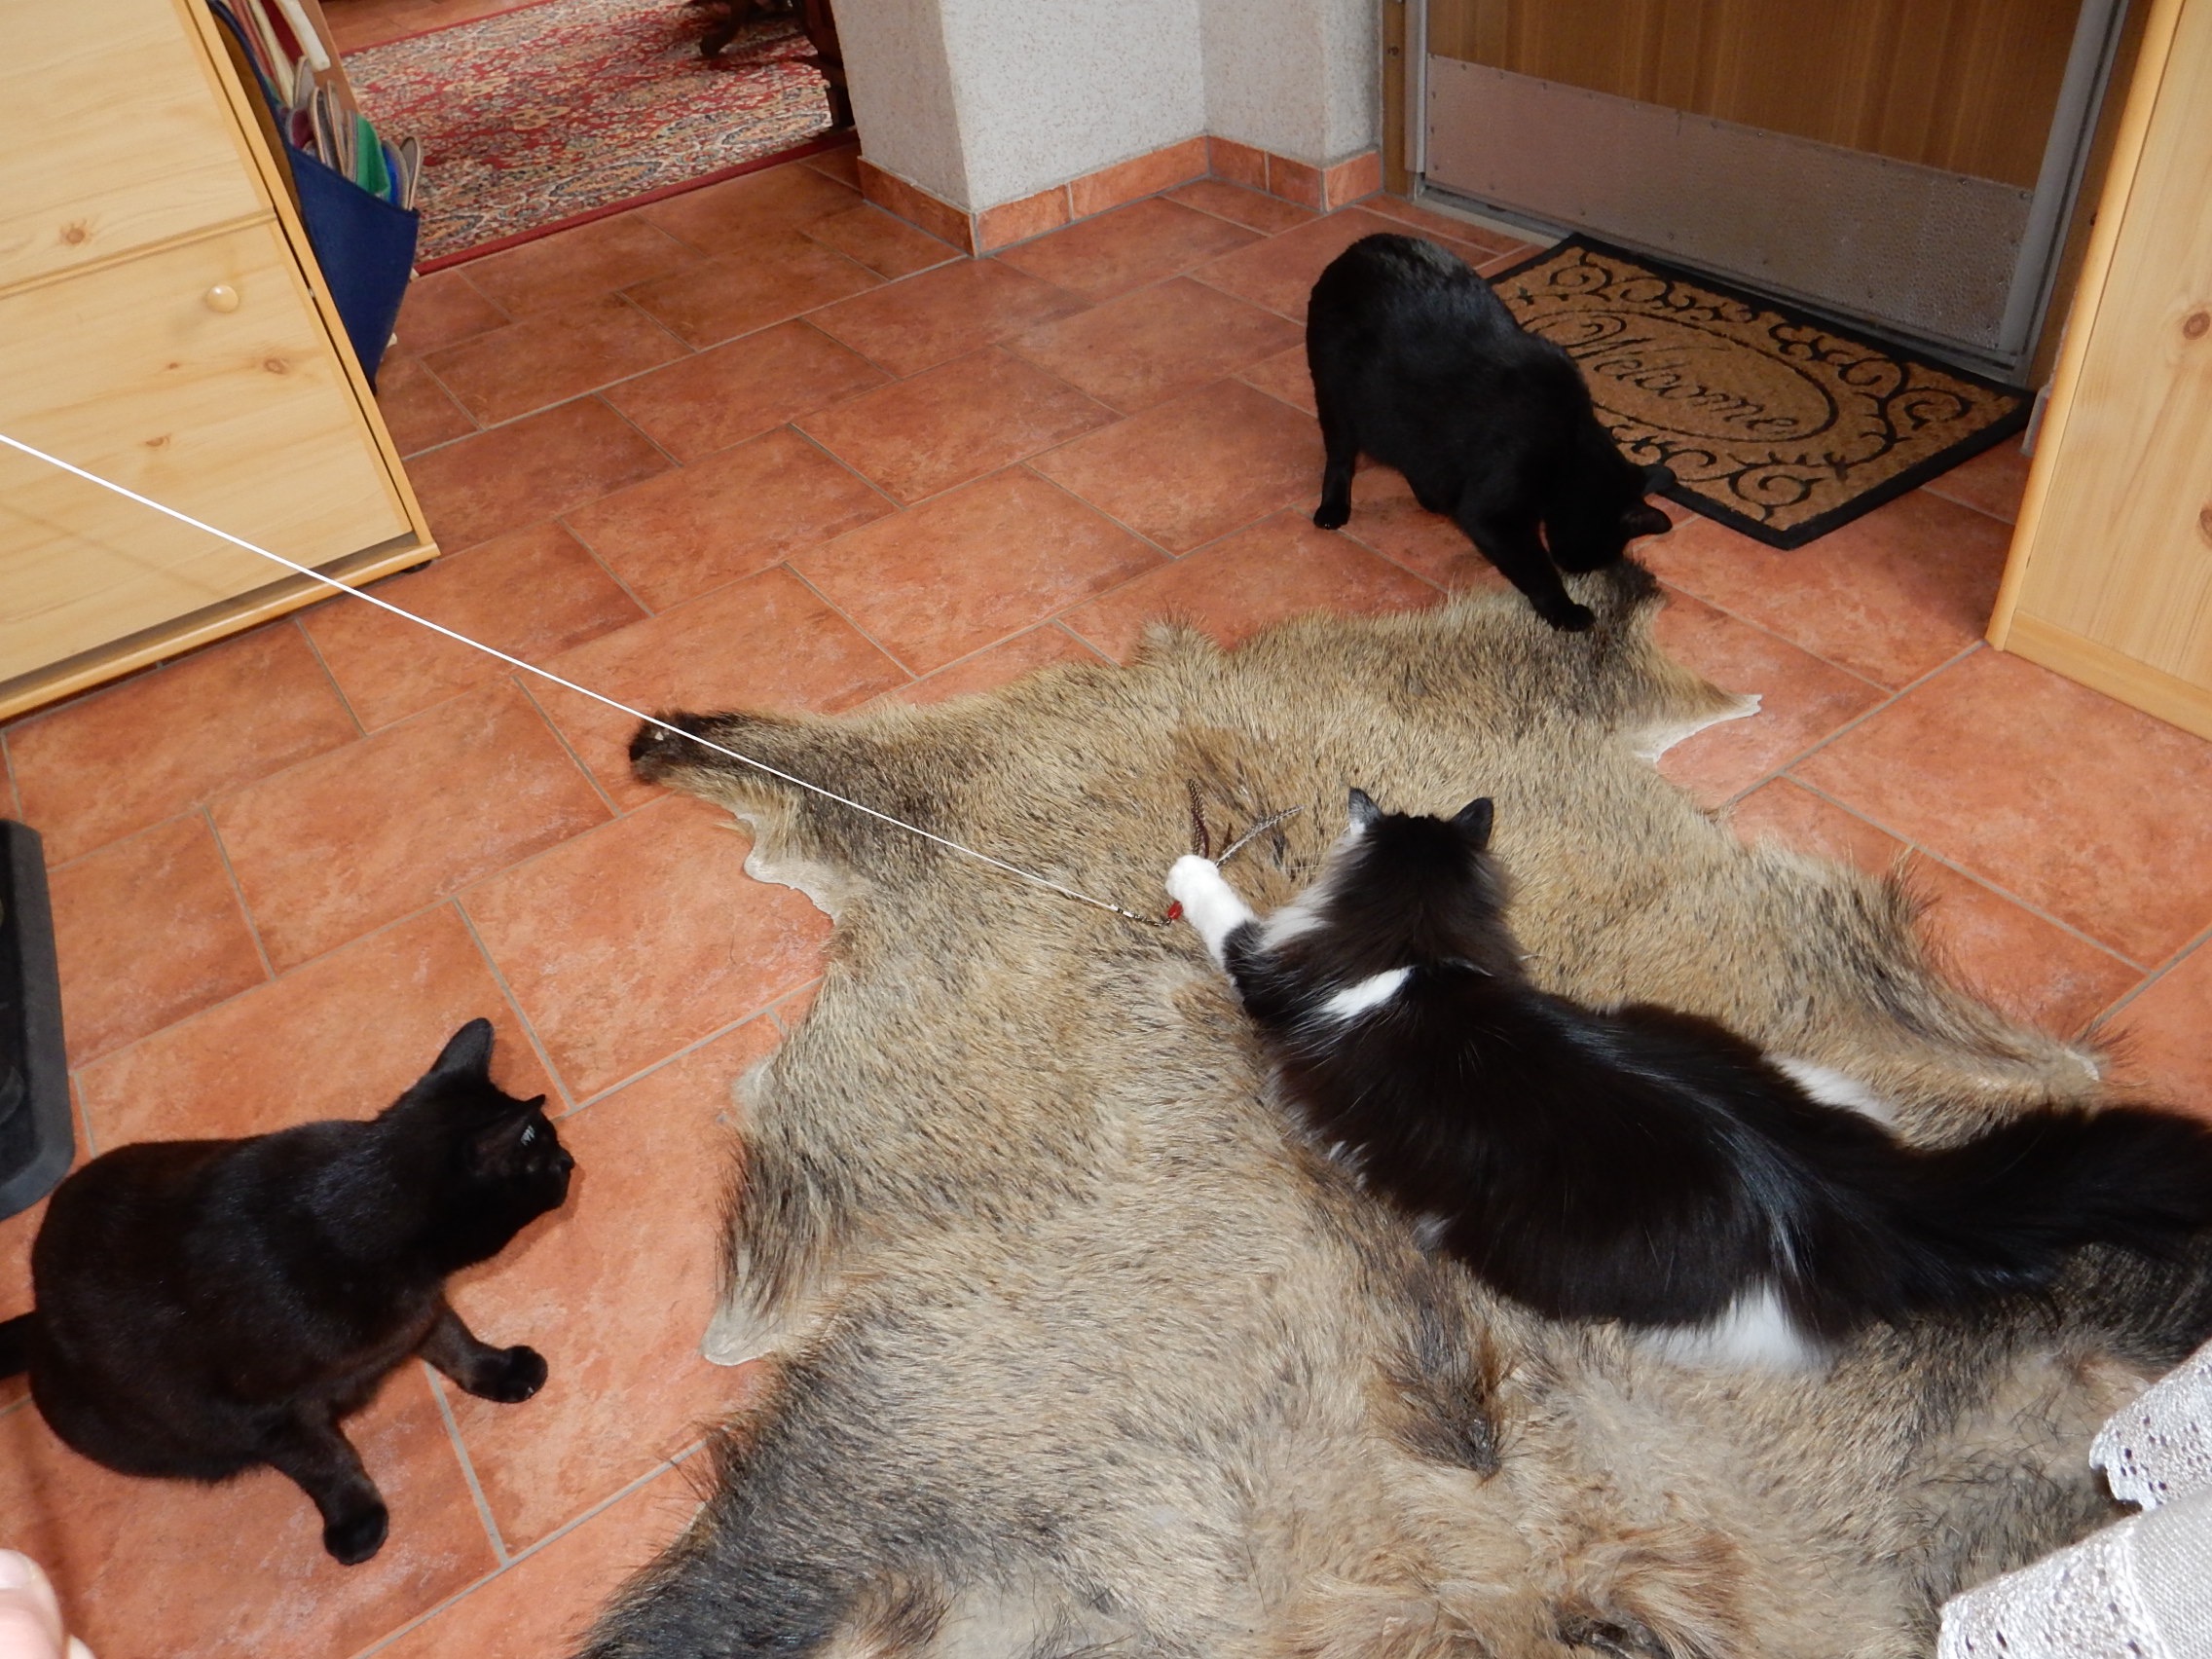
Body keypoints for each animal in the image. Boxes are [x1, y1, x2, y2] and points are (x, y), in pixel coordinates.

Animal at [0, 1019, 572, 1564]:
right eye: (543, 1155)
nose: (570, 1162)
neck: (352, 1215)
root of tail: (37, 1321)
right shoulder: (262, 1413)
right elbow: (325, 1461)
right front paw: (356, 1519)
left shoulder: (420, 1310)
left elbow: (456, 1341)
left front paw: (500, 1371)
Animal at [1305, 233, 1675, 632]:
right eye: (1603, 550)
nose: (1576, 567)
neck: (1569, 446)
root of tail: (1359, 246)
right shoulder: (1493, 514)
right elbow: (1536, 569)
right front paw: (1564, 609)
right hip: (1335, 395)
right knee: (1340, 455)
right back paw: (1333, 507)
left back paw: (1431, 496)